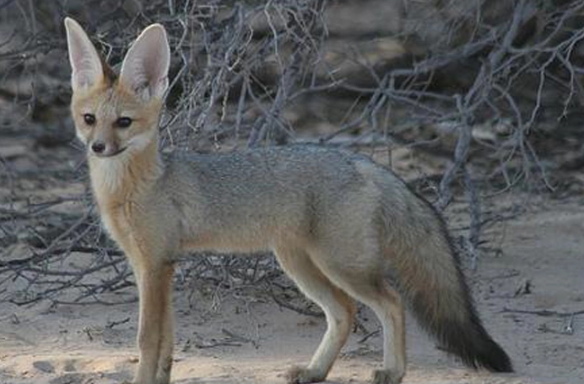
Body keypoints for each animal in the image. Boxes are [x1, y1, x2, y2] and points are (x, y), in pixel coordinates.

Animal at [64, 17, 512, 384]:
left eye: (124, 122)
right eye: (90, 120)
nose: (99, 147)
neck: (139, 186)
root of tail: (359, 160)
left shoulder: (156, 265)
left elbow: (147, 339)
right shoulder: (153, 267)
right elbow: (167, 343)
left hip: (341, 265)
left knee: (392, 303)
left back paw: (392, 372)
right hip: (301, 264)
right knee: (344, 313)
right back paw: (316, 371)